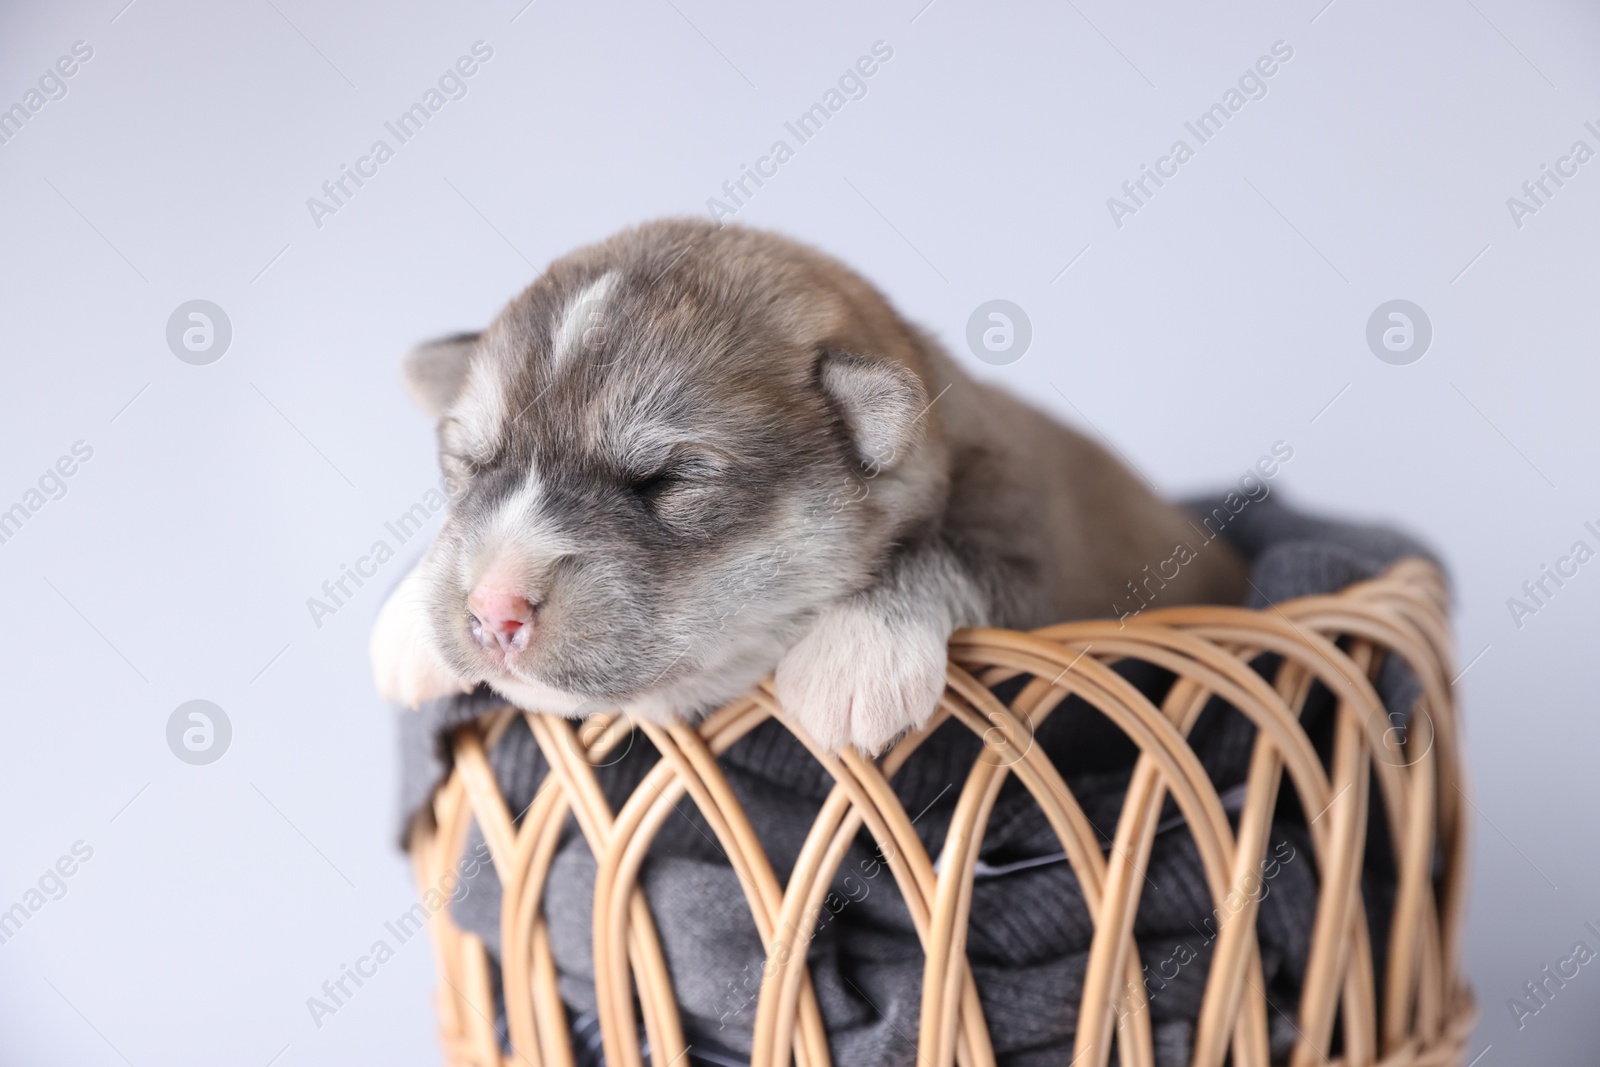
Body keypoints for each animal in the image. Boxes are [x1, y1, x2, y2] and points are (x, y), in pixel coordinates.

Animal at [374, 219, 1248, 751]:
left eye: (663, 479)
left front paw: (855, 655)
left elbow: (950, 548)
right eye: (473, 463)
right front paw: (409, 624)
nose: (493, 610)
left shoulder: (1033, 554)